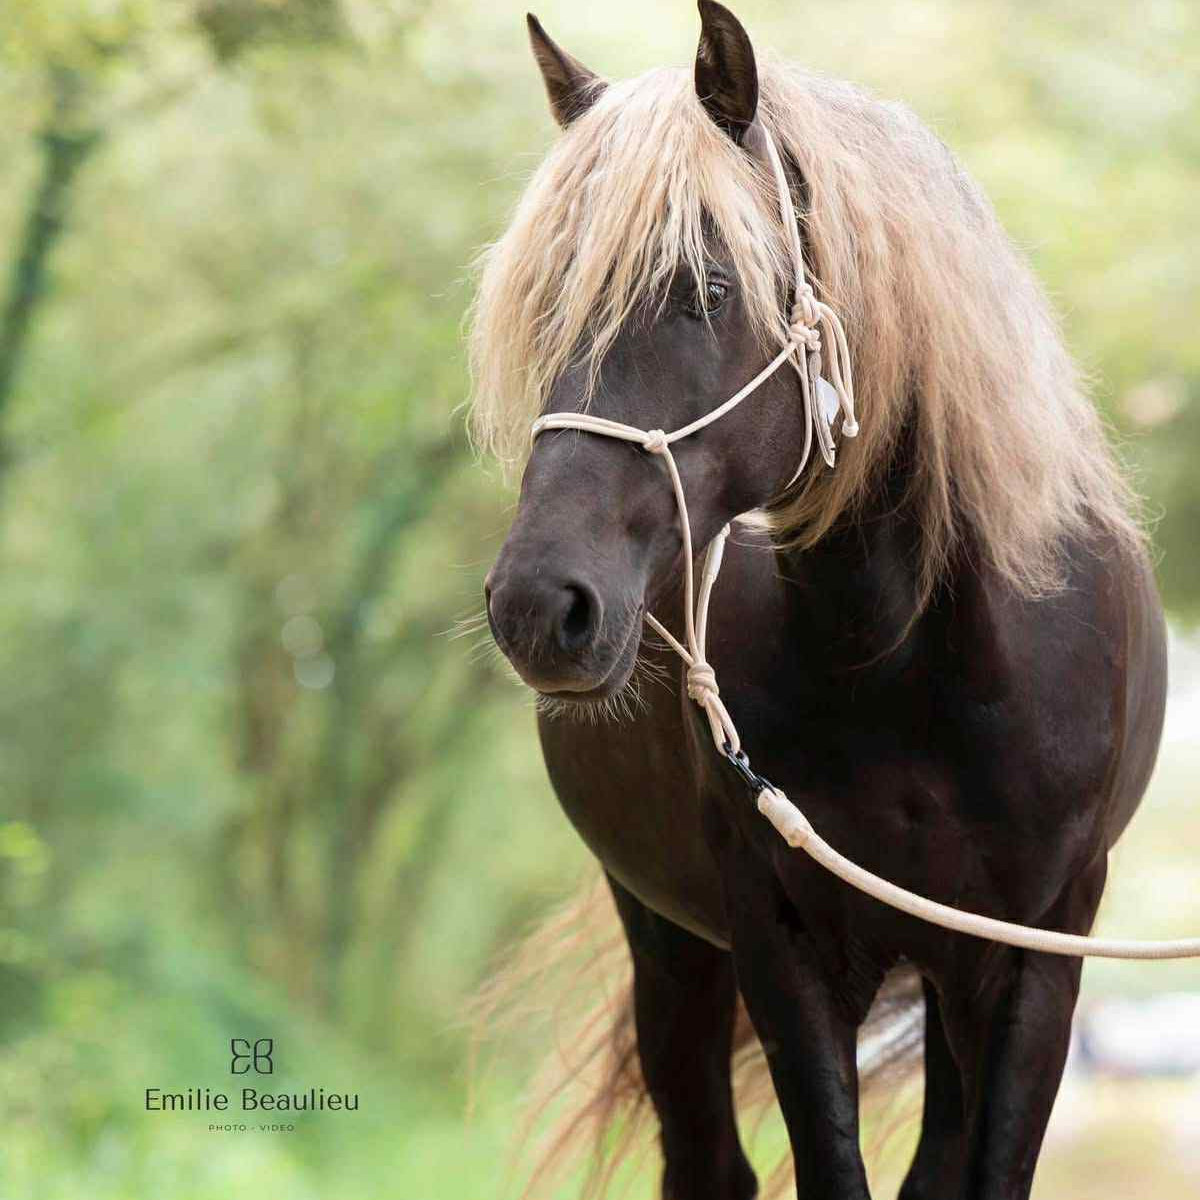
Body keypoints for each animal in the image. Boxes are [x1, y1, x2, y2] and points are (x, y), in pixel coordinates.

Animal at [469, 4, 1167, 1198]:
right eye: (547, 306)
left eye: (705, 288)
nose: (536, 606)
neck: (908, 663)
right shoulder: (782, 947)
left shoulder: (1037, 959)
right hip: (670, 944)